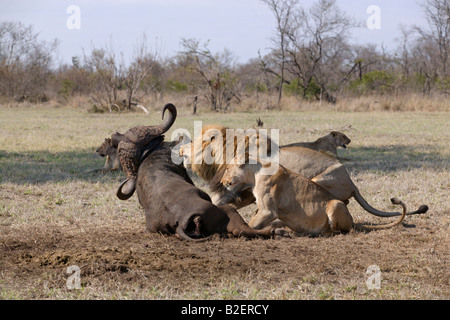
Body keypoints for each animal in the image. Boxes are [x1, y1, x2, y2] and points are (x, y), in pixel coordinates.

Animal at [221, 159, 408, 235]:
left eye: (228, 168)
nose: (222, 182)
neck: (254, 174)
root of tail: (353, 221)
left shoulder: (268, 211)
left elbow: (250, 225)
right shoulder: (262, 210)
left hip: (335, 204)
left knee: (341, 230)